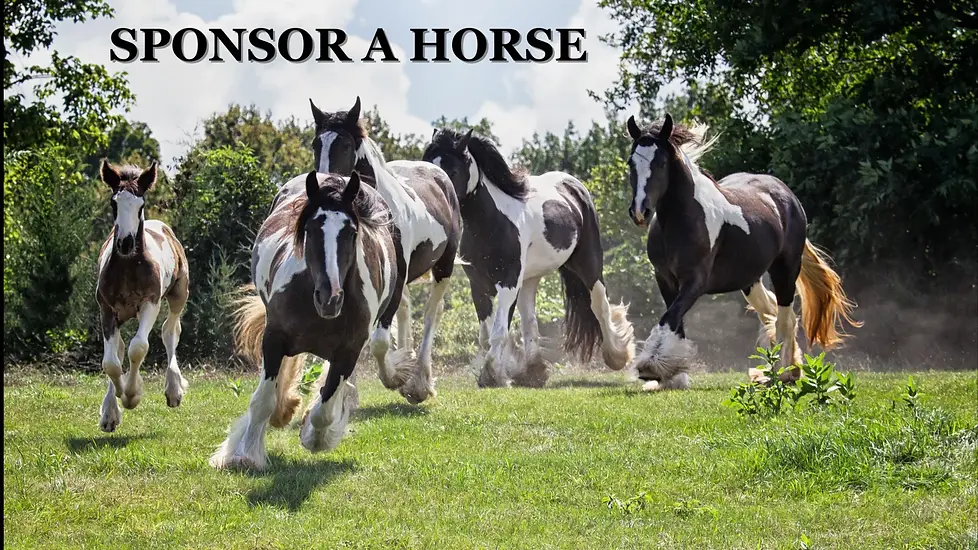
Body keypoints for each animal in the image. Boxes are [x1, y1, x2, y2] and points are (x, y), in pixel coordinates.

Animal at [95, 160, 190, 432]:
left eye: (141, 205)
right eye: (114, 203)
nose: (125, 243)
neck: (129, 267)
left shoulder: (150, 303)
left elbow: (138, 347)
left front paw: (132, 395)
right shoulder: (106, 309)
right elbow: (111, 361)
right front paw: (114, 406)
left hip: (179, 294)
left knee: (170, 331)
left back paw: (174, 389)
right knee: (118, 349)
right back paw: (110, 410)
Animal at [210, 171, 400, 471]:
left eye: (351, 232)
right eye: (311, 229)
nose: (329, 298)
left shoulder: (348, 352)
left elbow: (326, 408)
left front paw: (314, 436)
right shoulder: (274, 339)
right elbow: (262, 399)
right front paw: (244, 454)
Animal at [309, 97, 461, 405]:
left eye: (345, 144)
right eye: (315, 144)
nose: (324, 186)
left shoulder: (397, 277)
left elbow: (379, 342)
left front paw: (397, 376)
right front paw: (346, 394)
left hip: (444, 267)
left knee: (431, 313)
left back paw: (418, 382)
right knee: (407, 309)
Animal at [421, 128, 636, 388]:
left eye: (452, 170)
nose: (438, 198)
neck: (491, 222)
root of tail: (573, 186)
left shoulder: (508, 282)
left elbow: (499, 331)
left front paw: (492, 375)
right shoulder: (479, 285)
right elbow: (487, 335)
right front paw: (501, 372)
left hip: (589, 264)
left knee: (599, 305)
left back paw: (616, 357)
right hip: (530, 279)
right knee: (530, 321)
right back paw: (533, 372)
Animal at [624, 113, 862, 390]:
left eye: (661, 163)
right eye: (631, 163)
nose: (640, 211)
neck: (681, 220)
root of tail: (786, 196)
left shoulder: (695, 281)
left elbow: (669, 317)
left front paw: (650, 366)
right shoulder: (665, 279)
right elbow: (675, 320)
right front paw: (673, 376)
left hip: (786, 268)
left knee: (785, 317)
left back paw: (783, 373)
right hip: (750, 280)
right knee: (771, 311)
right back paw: (784, 368)